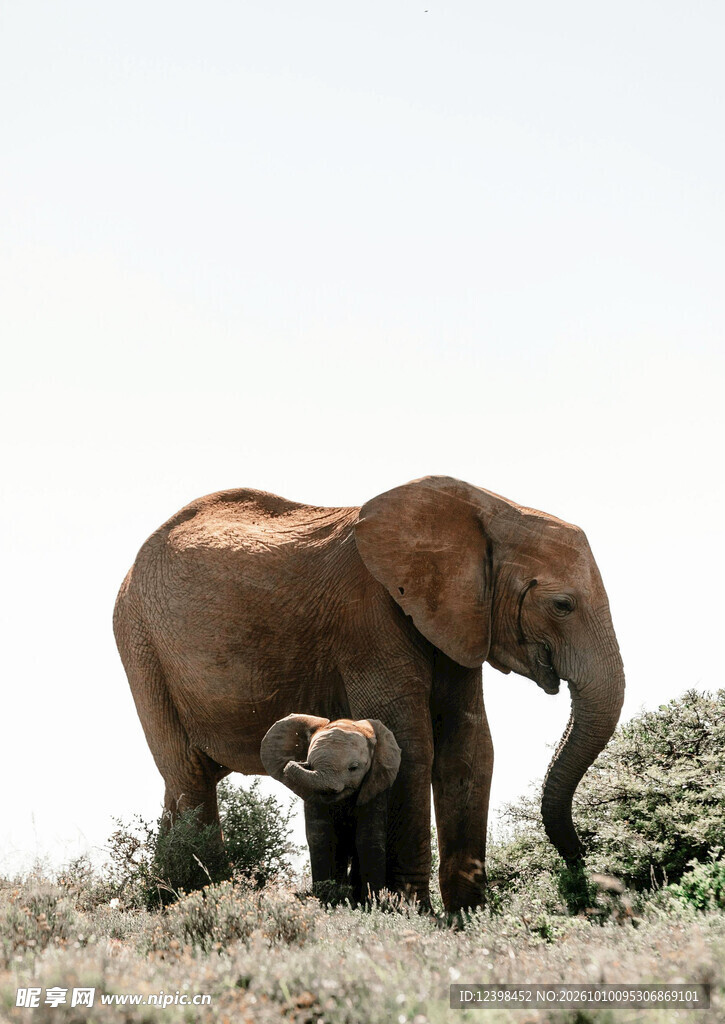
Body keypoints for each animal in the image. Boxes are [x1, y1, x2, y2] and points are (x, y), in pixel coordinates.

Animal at [260, 714, 401, 901]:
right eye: (310, 764)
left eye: (353, 768)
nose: (299, 762)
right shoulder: (313, 796)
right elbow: (320, 837)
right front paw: (324, 898)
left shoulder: (375, 786)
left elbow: (369, 837)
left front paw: (374, 902)